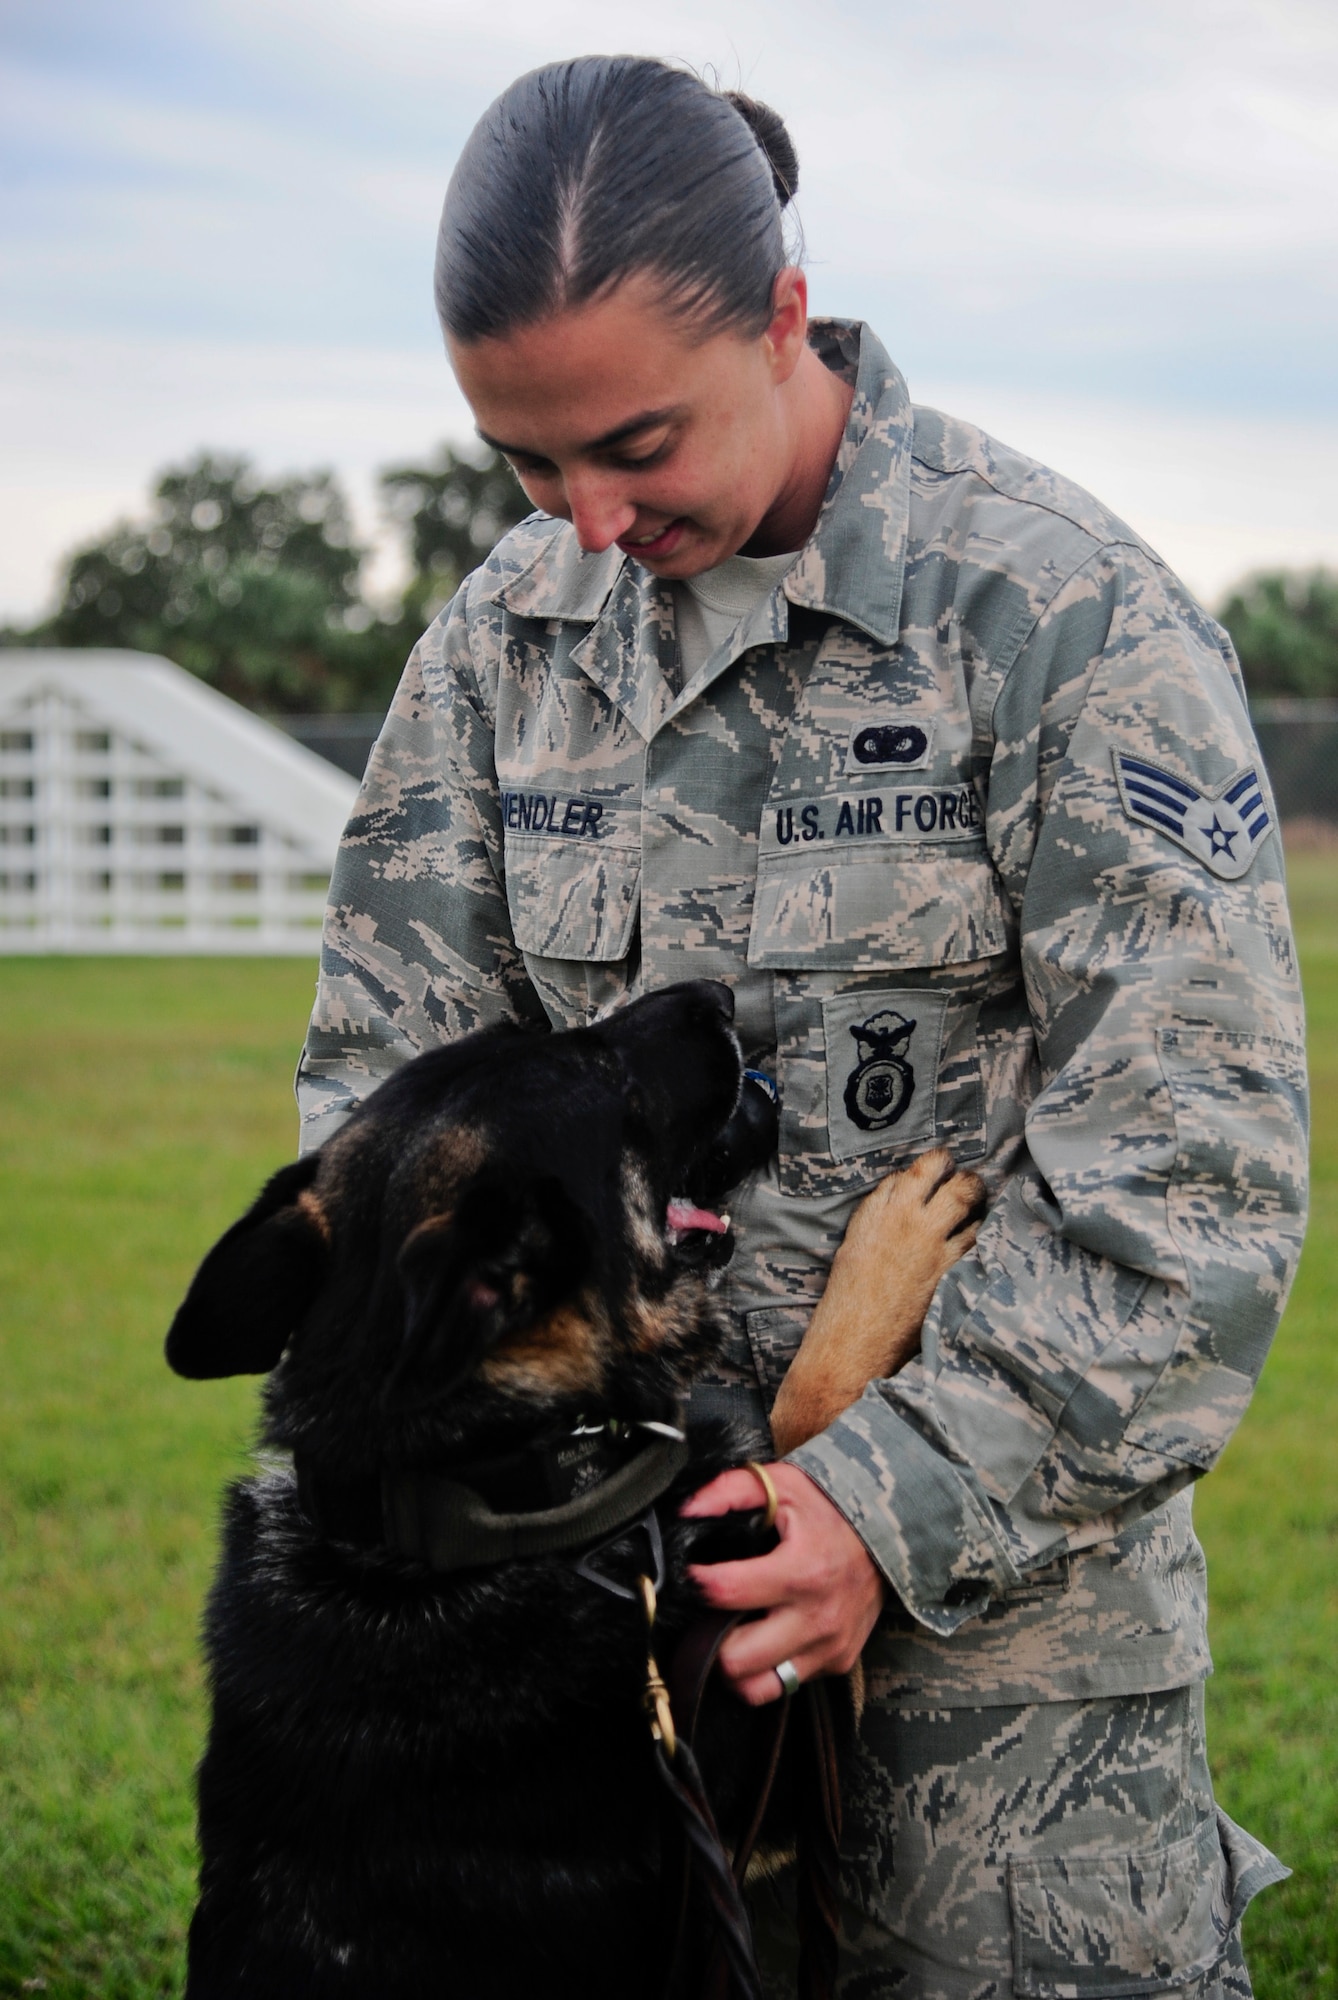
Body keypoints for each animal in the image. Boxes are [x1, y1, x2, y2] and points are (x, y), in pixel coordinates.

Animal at [170, 976, 980, 1992]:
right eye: (597, 1068)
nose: (713, 993)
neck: (489, 1499)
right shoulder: (784, 1723)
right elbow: (804, 1413)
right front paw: (896, 1245)